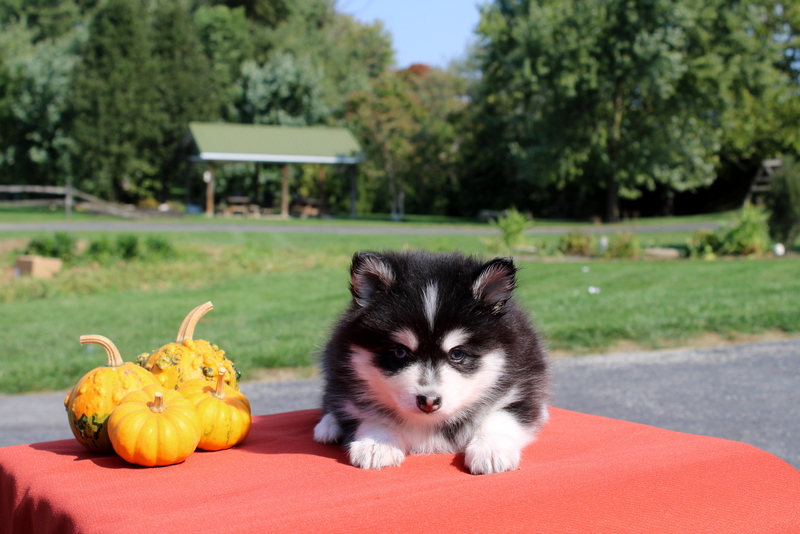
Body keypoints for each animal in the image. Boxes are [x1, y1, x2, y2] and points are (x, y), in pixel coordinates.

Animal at [312, 252, 552, 478]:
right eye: (400, 352)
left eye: (457, 354)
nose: (428, 401)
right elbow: (367, 414)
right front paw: (376, 443)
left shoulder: (522, 385)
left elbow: (502, 416)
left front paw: (491, 449)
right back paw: (328, 426)